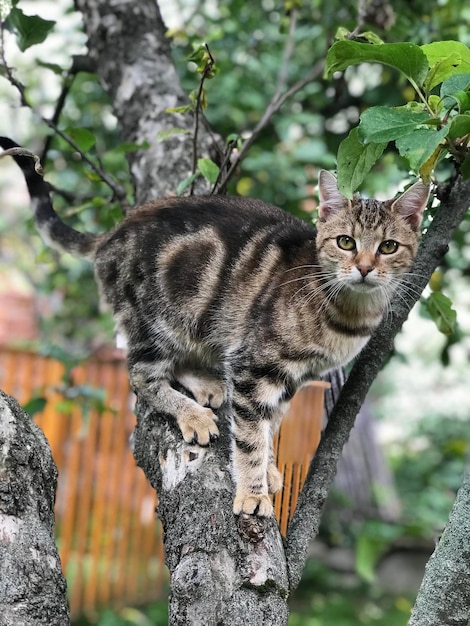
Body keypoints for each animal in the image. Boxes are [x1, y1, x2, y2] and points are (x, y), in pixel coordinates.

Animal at [0, 138, 428, 516]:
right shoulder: (254, 367)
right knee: (141, 375)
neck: (346, 316)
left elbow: (271, 426)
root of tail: (114, 232)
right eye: (345, 242)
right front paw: (253, 492)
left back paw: (207, 385)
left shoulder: (293, 378)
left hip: (199, 322)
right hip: (158, 320)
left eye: (388, 247)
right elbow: (251, 436)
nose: (365, 268)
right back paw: (193, 415)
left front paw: (269, 469)